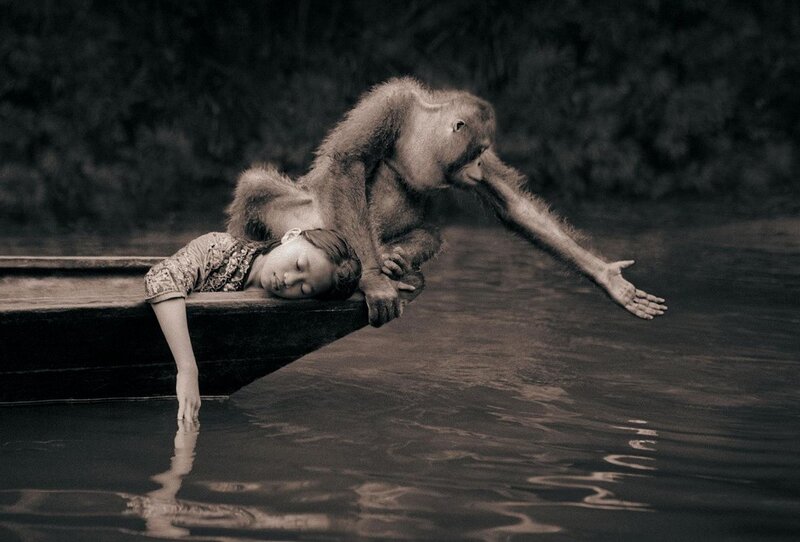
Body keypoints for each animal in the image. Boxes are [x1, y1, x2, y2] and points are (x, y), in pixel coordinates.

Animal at [227, 77, 667, 326]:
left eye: (481, 155)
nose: (477, 167)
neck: (420, 126)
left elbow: (514, 205)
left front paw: (609, 278)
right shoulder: (389, 102)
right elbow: (348, 163)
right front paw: (374, 280)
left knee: (433, 233)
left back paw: (396, 257)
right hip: (305, 218)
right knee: (254, 185)